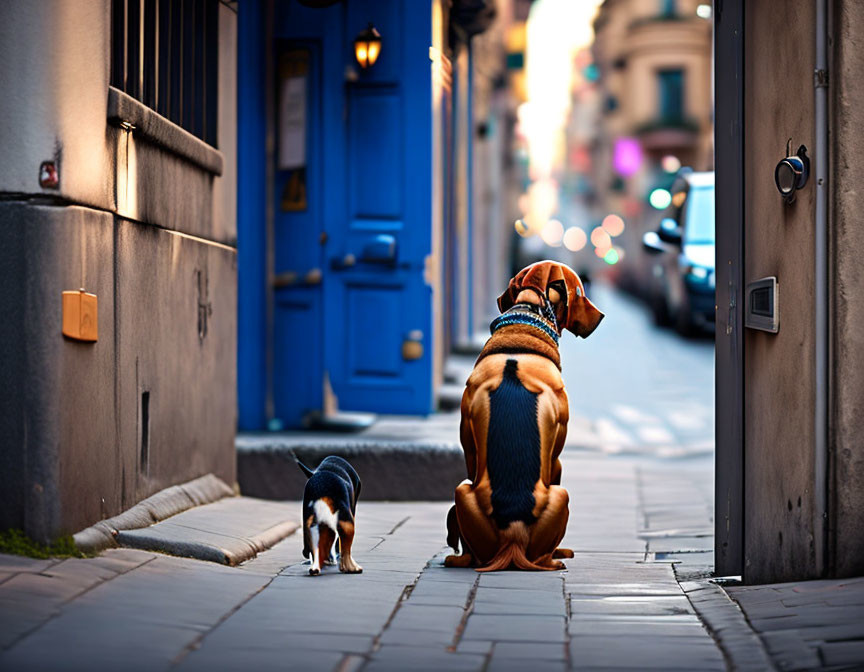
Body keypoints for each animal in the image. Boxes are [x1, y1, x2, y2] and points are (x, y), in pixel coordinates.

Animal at [442, 262, 604, 572]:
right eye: (580, 291)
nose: (601, 317)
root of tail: (512, 541)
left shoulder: (469, 448)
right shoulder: (556, 457)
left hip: (462, 490)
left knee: (471, 550)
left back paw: (458, 557)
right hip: (561, 495)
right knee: (542, 557)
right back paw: (557, 557)